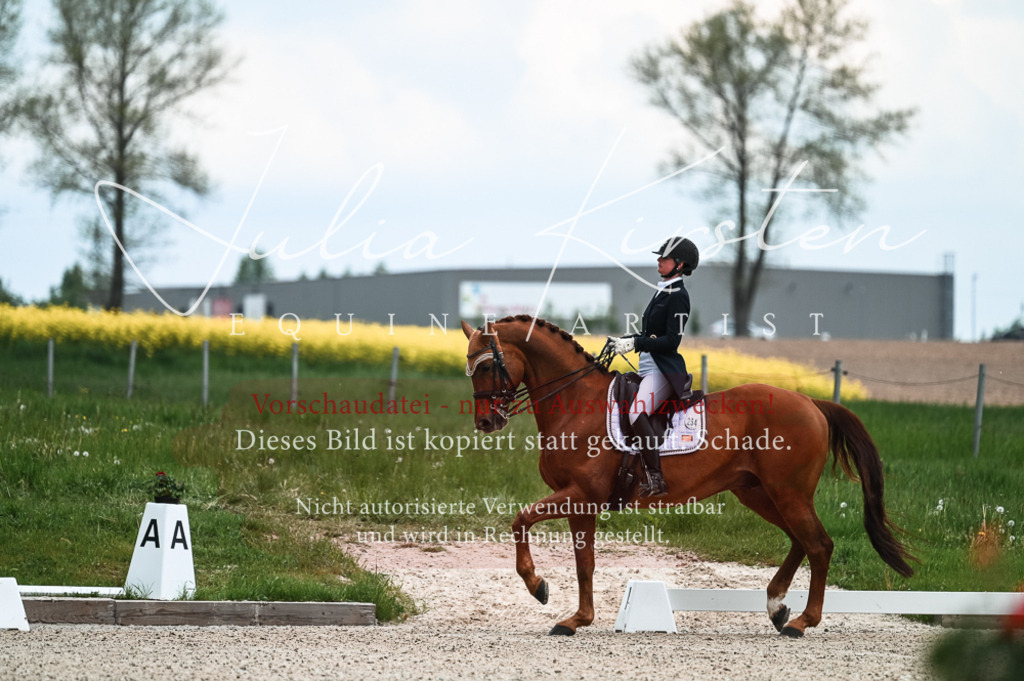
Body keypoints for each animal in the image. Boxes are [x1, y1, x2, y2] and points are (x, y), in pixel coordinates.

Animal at [461, 315, 915, 637]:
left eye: (484, 367)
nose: (485, 422)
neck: (576, 402)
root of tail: (811, 402)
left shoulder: (580, 494)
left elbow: (521, 519)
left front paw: (537, 585)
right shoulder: (580, 502)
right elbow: (584, 563)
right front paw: (577, 619)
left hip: (788, 492)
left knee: (818, 544)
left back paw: (802, 622)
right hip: (760, 493)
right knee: (800, 541)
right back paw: (777, 607)